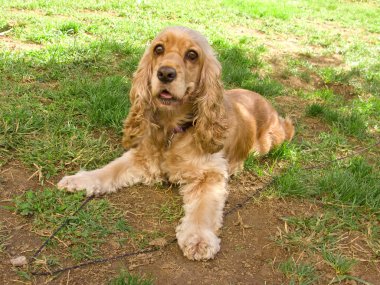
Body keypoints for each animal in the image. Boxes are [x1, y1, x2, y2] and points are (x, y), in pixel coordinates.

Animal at [57, 26, 294, 260]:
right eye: (158, 49)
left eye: (192, 55)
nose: (165, 73)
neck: (172, 129)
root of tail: (264, 101)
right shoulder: (142, 156)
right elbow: (110, 170)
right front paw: (79, 180)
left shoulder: (210, 173)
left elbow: (203, 208)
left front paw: (199, 239)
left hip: (270, 141)